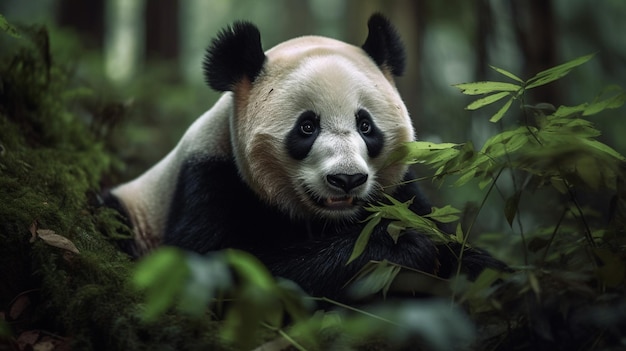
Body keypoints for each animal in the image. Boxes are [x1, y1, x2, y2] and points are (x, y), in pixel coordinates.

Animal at [106, 13, 498, 302]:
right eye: (307, 127)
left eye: (366, 125)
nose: (347, 179)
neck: (326, 220)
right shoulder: (210, 178)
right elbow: (217, 272)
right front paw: (397, 248)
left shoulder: (398, 191)